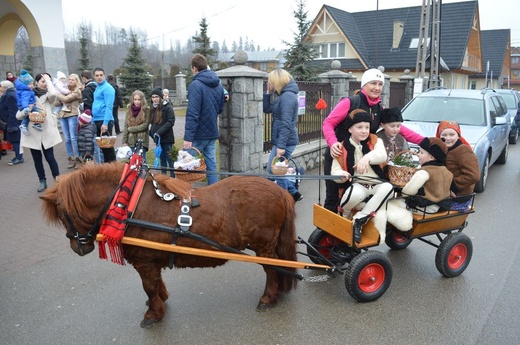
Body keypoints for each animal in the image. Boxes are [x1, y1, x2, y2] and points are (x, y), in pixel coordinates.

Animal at [41, 163, 296, 326]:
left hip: (263, 246)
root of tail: (280, 190)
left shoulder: (144, 261)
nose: (78, 248)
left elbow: (149, 286)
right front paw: (160, 300)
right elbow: (155, 284)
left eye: (64, 215)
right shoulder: (151, 260)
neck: (130, 203)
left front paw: (153, 314)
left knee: (272, 268)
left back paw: (268, 298)